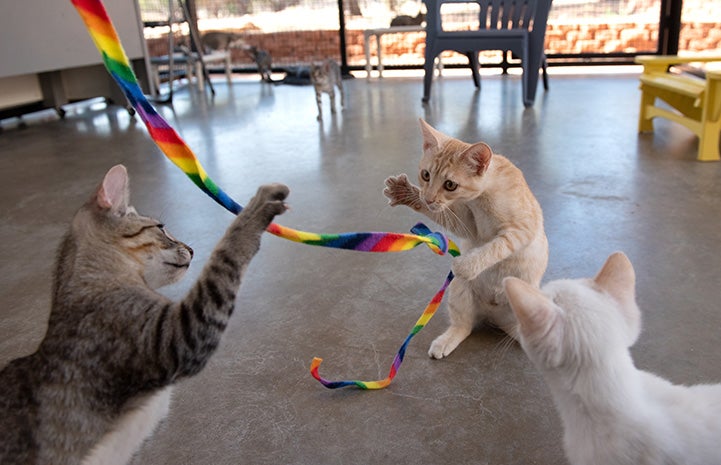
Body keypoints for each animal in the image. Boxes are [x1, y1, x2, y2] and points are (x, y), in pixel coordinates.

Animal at [382, 118, 544, 358]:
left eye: (450, 185)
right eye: (426, 175)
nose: (428, 198)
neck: (482, 198)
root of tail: (493, 316)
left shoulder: (523, 228)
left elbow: (497, 246)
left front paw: (467, 265)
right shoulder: (467, 226)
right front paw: (406, 193)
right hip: (459, 290)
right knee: (464, 325)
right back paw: (447, 340)